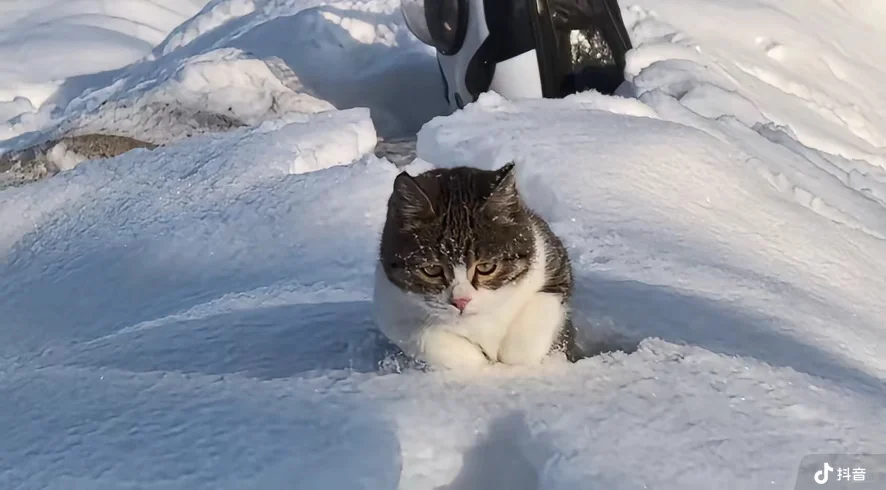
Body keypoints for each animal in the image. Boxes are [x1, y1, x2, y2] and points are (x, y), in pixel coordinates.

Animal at [372, 163, 588, 370]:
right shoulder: (389, 303)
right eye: (431, 270)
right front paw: (479, 364)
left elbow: (543, 306)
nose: (461, 301)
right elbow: (421, 336)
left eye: (486, 267)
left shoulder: (552, 261)